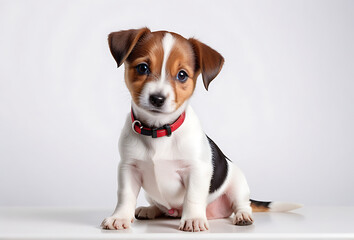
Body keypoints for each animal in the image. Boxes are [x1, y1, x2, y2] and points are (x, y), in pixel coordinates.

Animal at [100, 27, 302, 232]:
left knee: (242, 204)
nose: (157, 98)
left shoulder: (197, 170)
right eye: (143, 68)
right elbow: (125, 195)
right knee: (160, 207)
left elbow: (193, 196)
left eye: (182, 75)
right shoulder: (128, 168)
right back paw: (150, 210)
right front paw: (119, 217)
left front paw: (193, 219)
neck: (159, 132)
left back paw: (242, 216)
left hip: (238, 184)